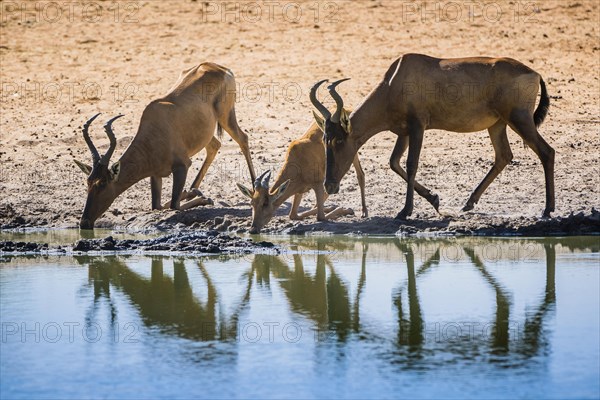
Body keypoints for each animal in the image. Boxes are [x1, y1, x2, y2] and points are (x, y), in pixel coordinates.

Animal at [75, 62, 255, 228]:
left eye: (102, 183)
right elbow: (158, 206)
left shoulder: (182, 166)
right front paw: (193, 193)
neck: (154, 129)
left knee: (243, 139)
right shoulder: (156, 174)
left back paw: (253, 187)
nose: (84, 222)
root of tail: (219, 68)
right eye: (88, 182)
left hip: (226, 116)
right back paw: (193, 189)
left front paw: (205, 199)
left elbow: (174, 206)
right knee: (214, 145)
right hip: (207, 132)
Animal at [237, 101, 368, 234]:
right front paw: (330, 207)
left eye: (265, 203)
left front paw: (346, 209)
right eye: (252, 203)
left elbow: (321, 217)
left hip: (352, 154)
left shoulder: (318, 184)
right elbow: (293, 215)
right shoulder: (299, 190)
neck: (298, 158)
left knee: (360, 175)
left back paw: (364, 212)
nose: (253, 229)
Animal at [314, 53, 552, 219]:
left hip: (519, 119)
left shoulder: (418, 127)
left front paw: (405, 211)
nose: (330, 186)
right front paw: (434, 199)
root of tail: (535, 73)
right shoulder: (404, 132)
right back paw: (468, 203)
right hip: (497, 125)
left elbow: (411, 164)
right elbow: (394, 162)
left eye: (339, 140)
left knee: (546, 152)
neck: (395, 79)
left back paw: (548, 209)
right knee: (504, 156)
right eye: (324, 140)